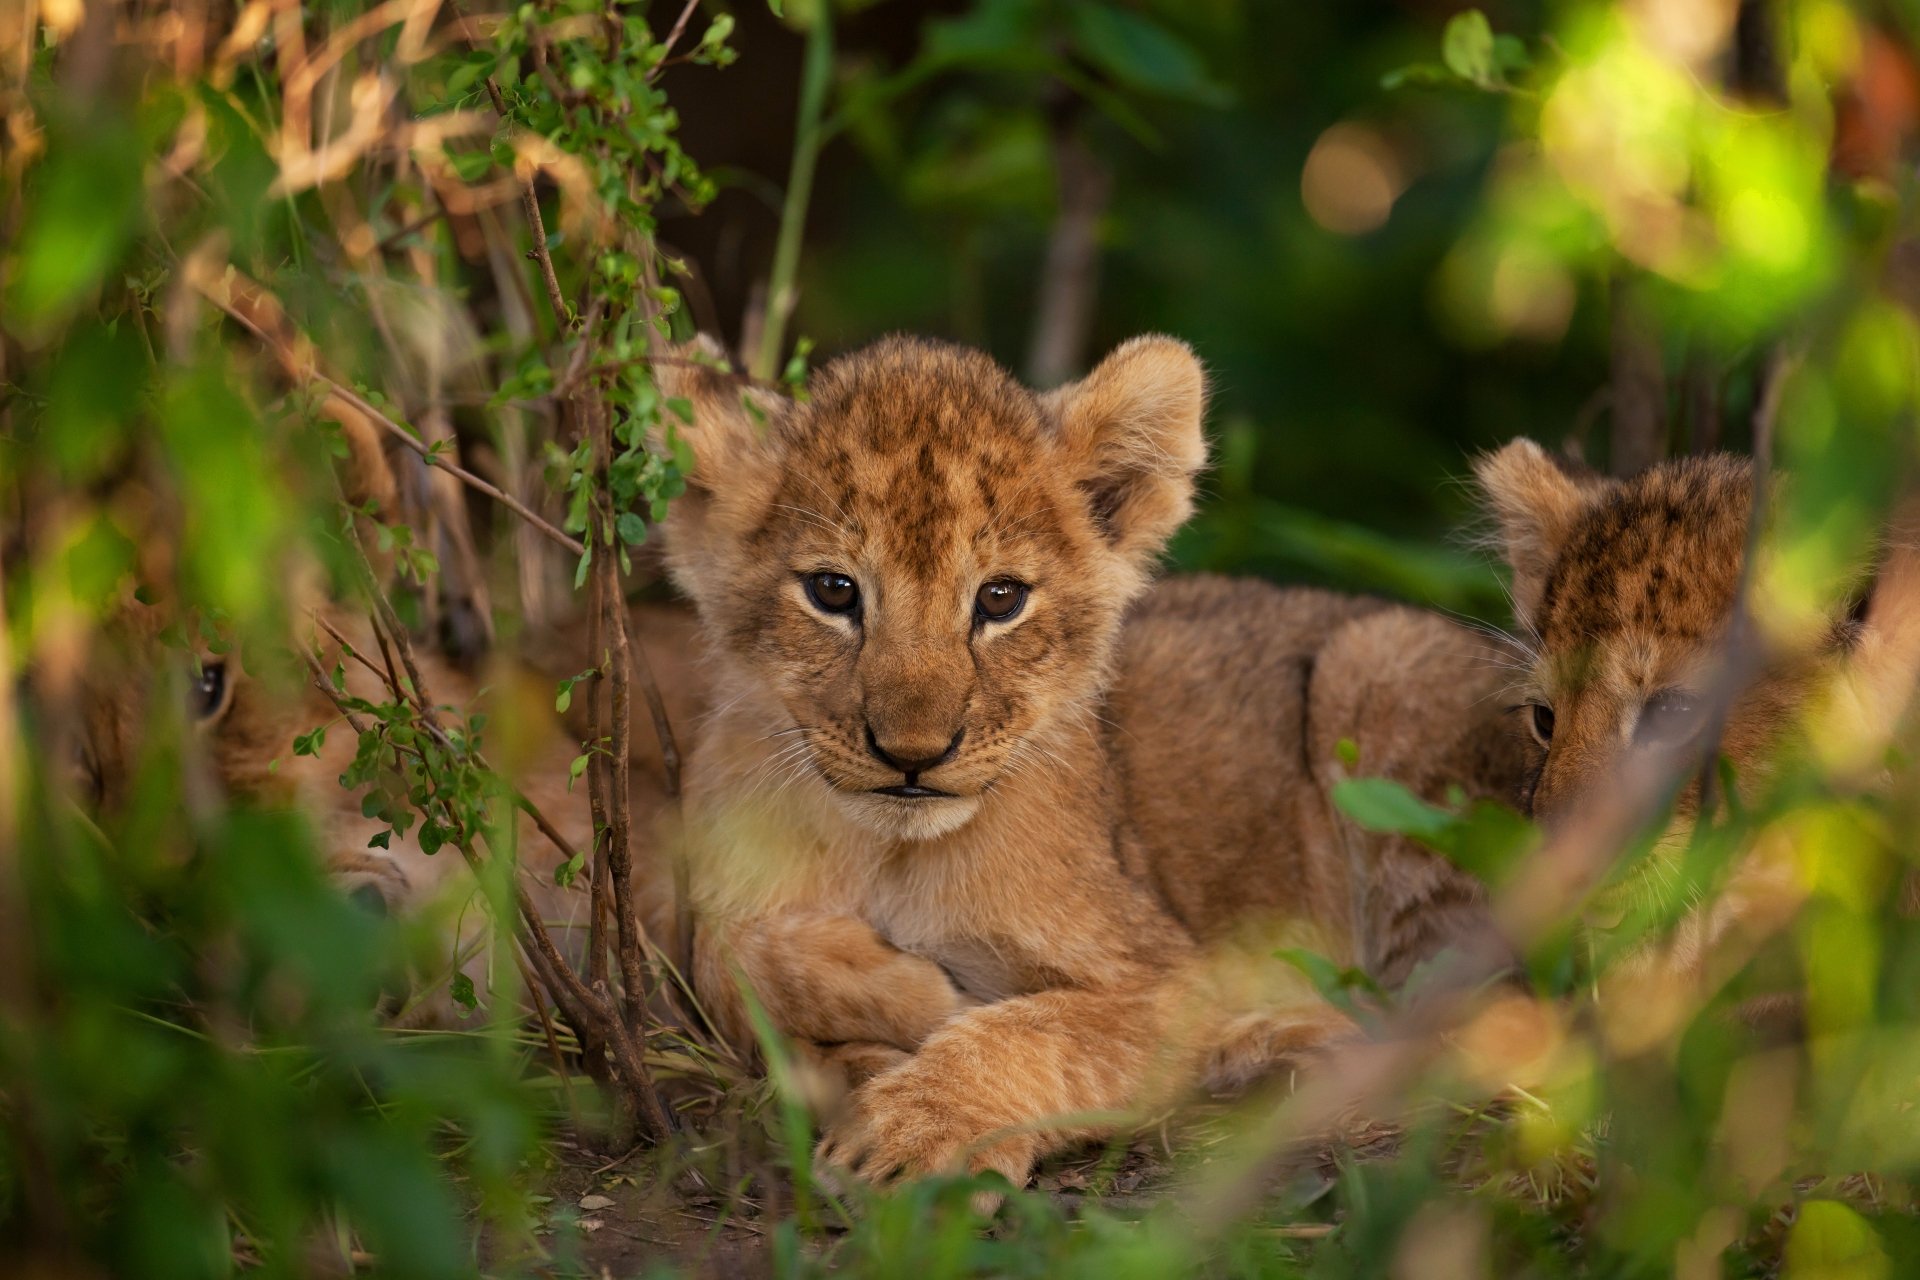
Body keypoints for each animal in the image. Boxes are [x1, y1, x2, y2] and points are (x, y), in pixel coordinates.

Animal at [648, 334, 1530, 1187]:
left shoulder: (1164, 972)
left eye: (1000, 599)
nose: (913, 755)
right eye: (833, 592)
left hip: (1377, 664)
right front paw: (903, 1008)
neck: (890, 851)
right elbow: (726, 959)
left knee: (1492, 1018)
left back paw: (1272, 1043)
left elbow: (1035, 1032)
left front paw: (916, 1128)